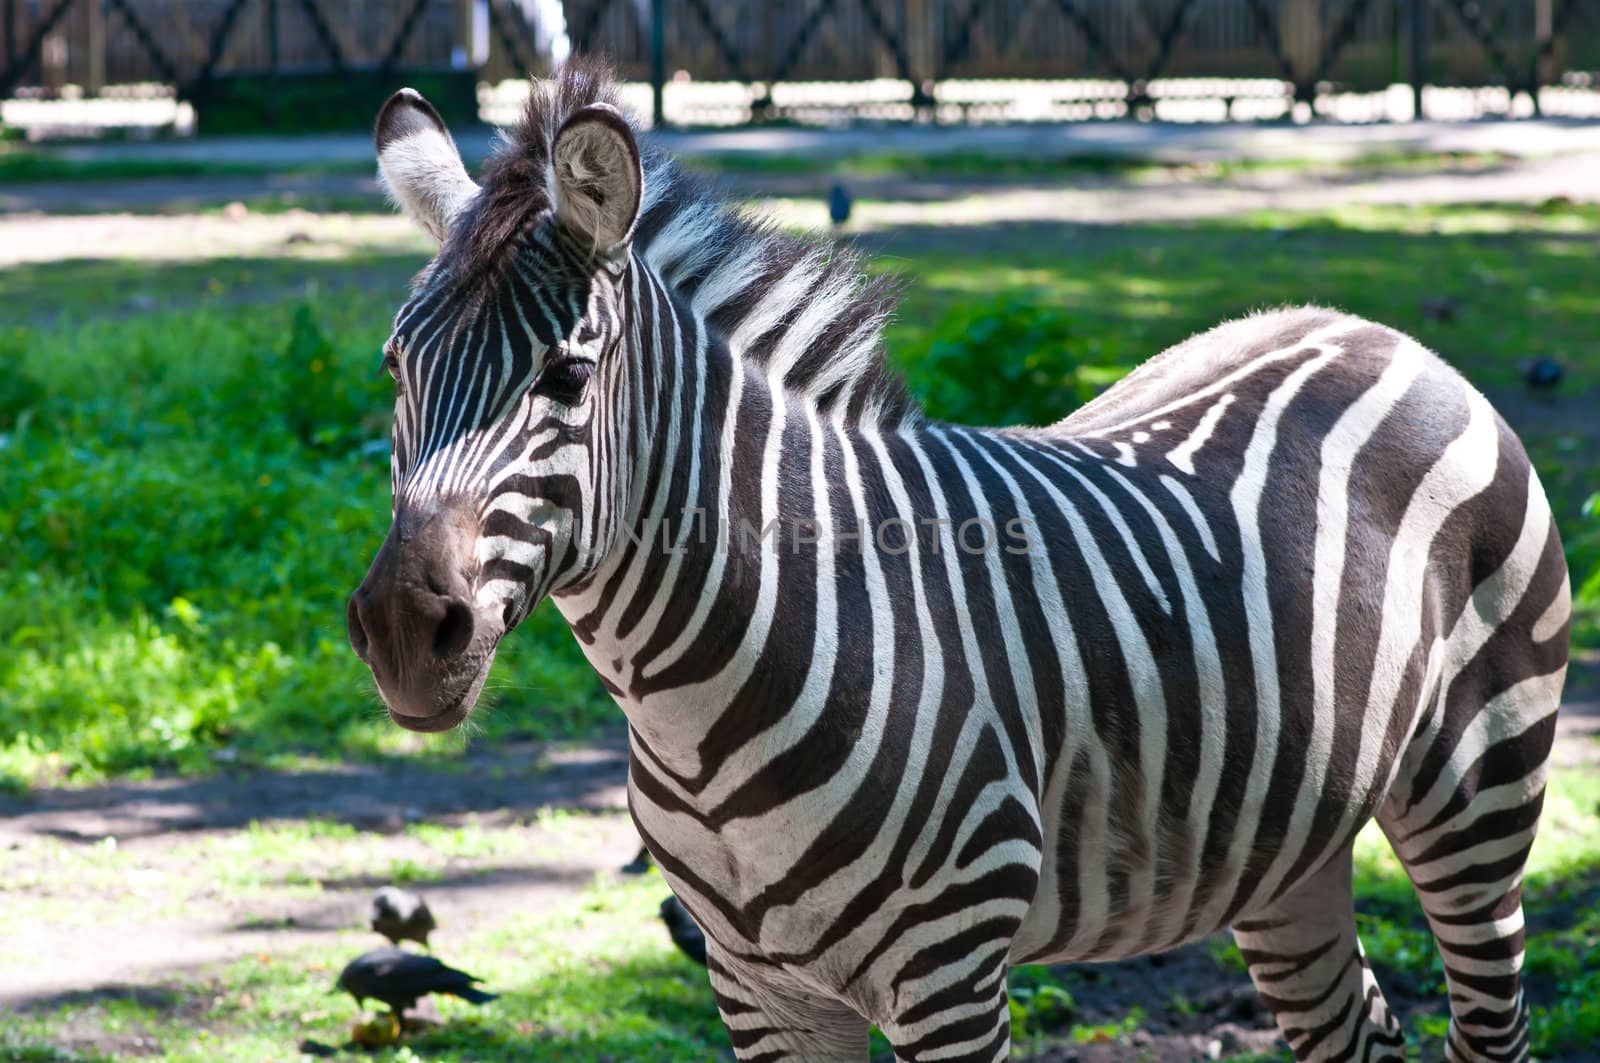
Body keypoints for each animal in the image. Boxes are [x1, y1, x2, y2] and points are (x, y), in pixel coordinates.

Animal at [344, 62, 1568, 1056]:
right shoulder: (756, 989)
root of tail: (1378, 333)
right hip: (1285, 843)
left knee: (1488, 1019)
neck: (698, 698)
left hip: (1478, 792)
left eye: (562, 376)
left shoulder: (951, 972)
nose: (404, 635)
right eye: (395, 370)